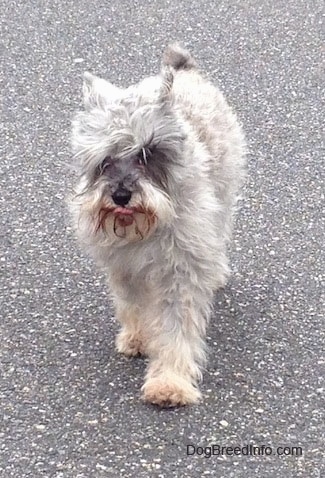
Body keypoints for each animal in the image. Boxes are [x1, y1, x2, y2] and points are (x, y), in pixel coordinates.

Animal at [69, 44, 246, 408]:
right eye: (105, 160)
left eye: (146, 154)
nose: (121, 195)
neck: (145, 224)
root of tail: (185, 71)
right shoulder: (124, 267)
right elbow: (132, 304)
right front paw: (137, 337)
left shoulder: (181, 273)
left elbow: (176, 328)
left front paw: (169, 382)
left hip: (223, 197)